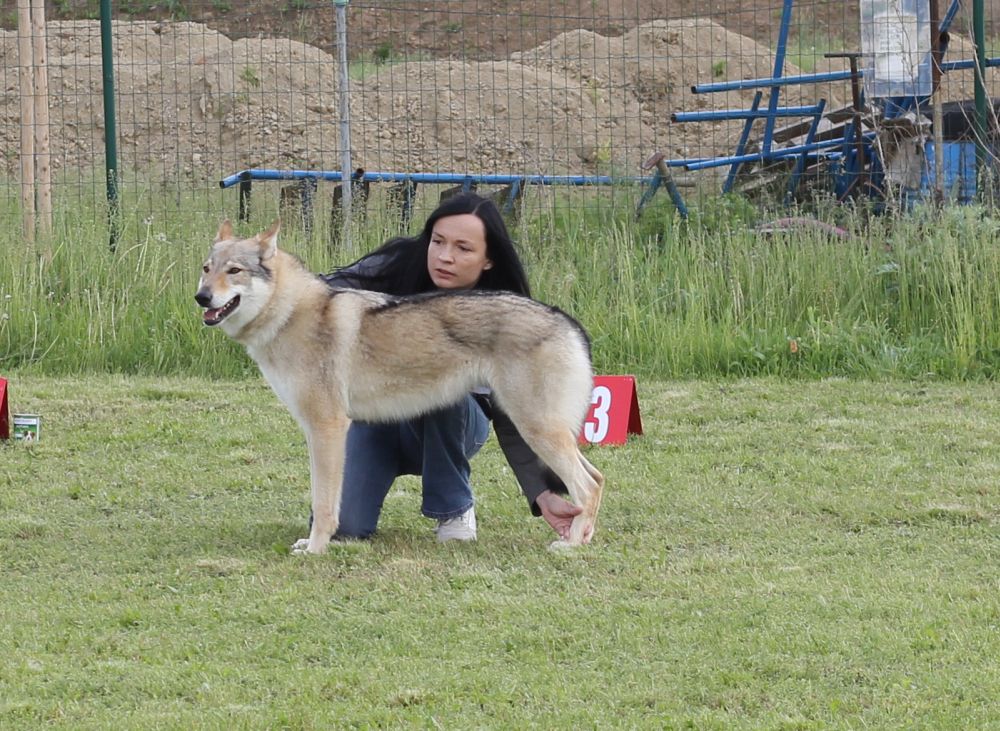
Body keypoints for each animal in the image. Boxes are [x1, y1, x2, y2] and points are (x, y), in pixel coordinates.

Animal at [195, 220, 600, 552]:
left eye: (234, 271)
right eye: (206, 269)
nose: (201, 297)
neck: (290, 313)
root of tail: (568, 322)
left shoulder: (326, 427)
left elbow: (323, 503)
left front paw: (315, 549)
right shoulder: (319, 432)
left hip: (536, 429)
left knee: (588, 485)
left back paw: (571, 546)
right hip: (550, 433)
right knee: (597, 477)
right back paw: (581, 535)